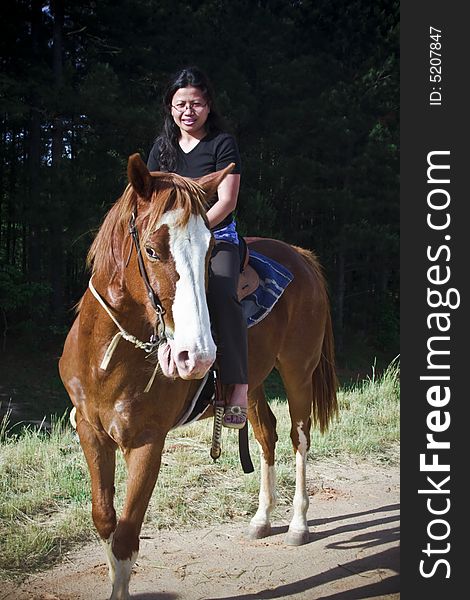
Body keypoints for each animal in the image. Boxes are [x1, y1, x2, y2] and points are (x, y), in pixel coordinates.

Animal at [58, 154, 338, 600]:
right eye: (151, 250)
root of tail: (300, 256)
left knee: (300, 437)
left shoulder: (147, 442)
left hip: (298, 370)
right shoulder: (91, 429)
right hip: (252, 384)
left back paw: (298, 523)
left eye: (209, 255)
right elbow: (104, 519)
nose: (199, 356)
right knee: (267, 435)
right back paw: (262, 518)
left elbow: (126, 535)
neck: (110, 353)